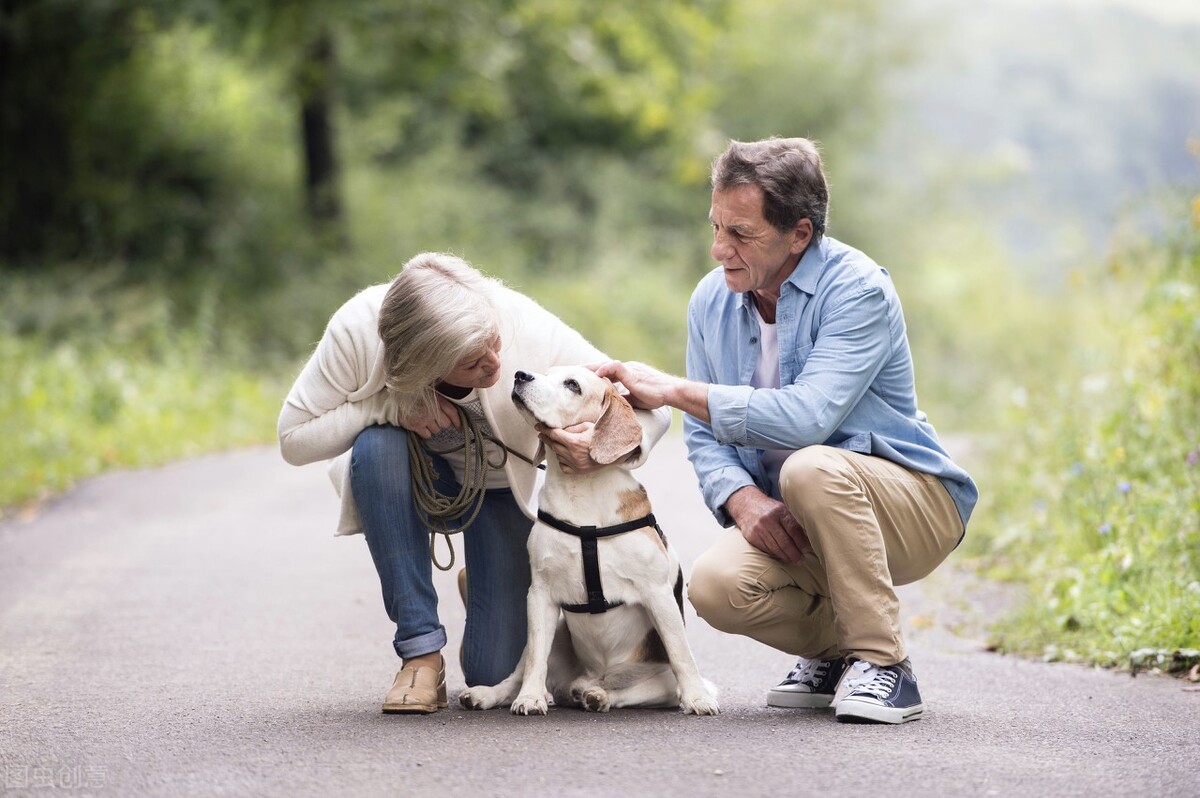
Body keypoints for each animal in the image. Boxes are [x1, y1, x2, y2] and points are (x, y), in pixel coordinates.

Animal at [456, 364, 720, 710]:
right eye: (546, 372)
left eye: (572, 385)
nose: (520, 375)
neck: (581, 491)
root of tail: (590, 676)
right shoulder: (539, 593)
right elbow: (535, 660)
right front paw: (529, 698)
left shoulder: (658, 594)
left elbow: (681, 654)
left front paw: (697, 698)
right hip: (555, 631)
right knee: (518, 674)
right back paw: (493, 694)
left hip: (657, 684)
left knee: (628, 692)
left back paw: (597, 695)